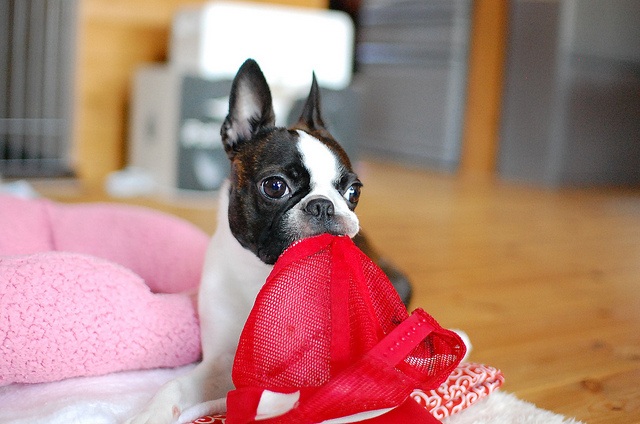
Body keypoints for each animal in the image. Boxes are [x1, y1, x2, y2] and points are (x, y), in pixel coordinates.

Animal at [127, 59, 412, 424]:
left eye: (353, 191)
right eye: (275, 187)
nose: (323, 205)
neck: (266, 274)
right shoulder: (222, 361)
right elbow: (177, 384)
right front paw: (154, 412)